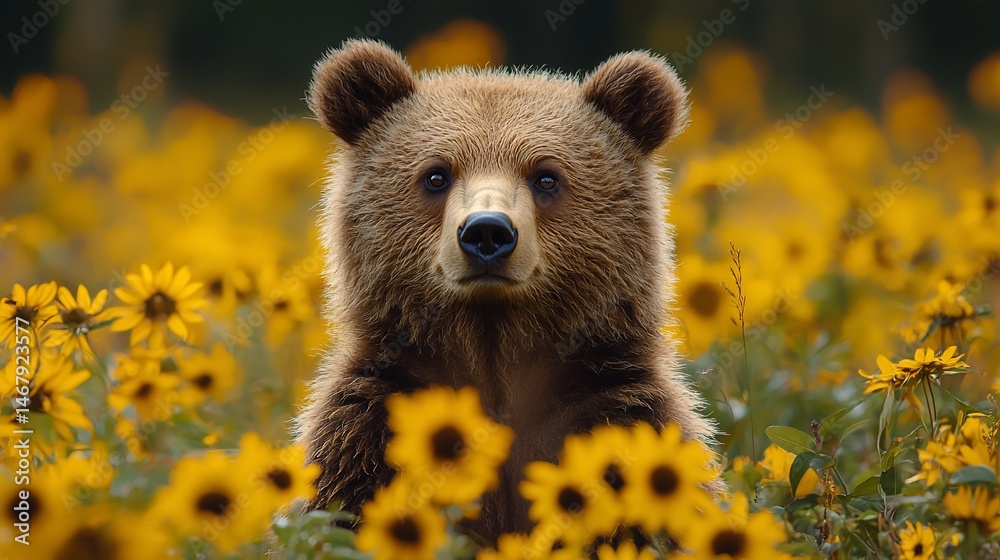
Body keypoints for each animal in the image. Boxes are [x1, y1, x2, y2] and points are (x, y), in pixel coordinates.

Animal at [297, 39, 716, 541]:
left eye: (546, 176)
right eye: (436, 175)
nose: (487, 232)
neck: (496, 359)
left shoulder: (616, 420)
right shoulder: (369, 434)